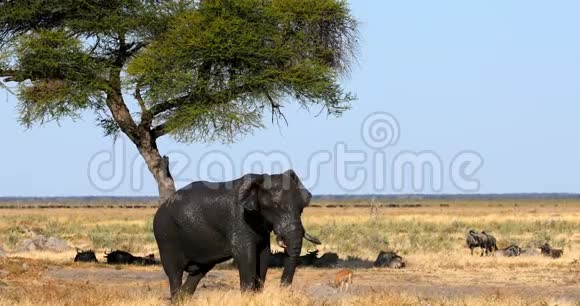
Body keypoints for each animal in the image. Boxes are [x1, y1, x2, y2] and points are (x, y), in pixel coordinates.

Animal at [152, 171, 320, 300]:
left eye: (302, 209)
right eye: (276, 207)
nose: (284, 291)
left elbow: (263, 256)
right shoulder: (239, 220)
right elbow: (247, 256)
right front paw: (248, 298)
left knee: (197, 274)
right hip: (165, 236)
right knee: (174, 273)